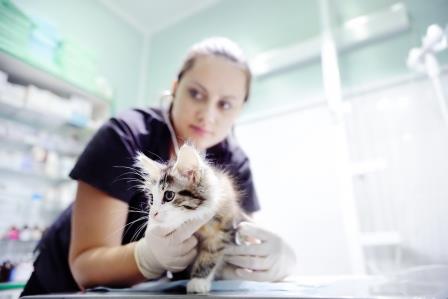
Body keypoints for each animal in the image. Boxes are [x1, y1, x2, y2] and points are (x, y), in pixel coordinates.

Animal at [136, 144, 245, 294]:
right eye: (152, 199)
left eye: (169, 196)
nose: (153, 214)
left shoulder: (222, 231)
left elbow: (210, 255)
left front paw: (198, 281)